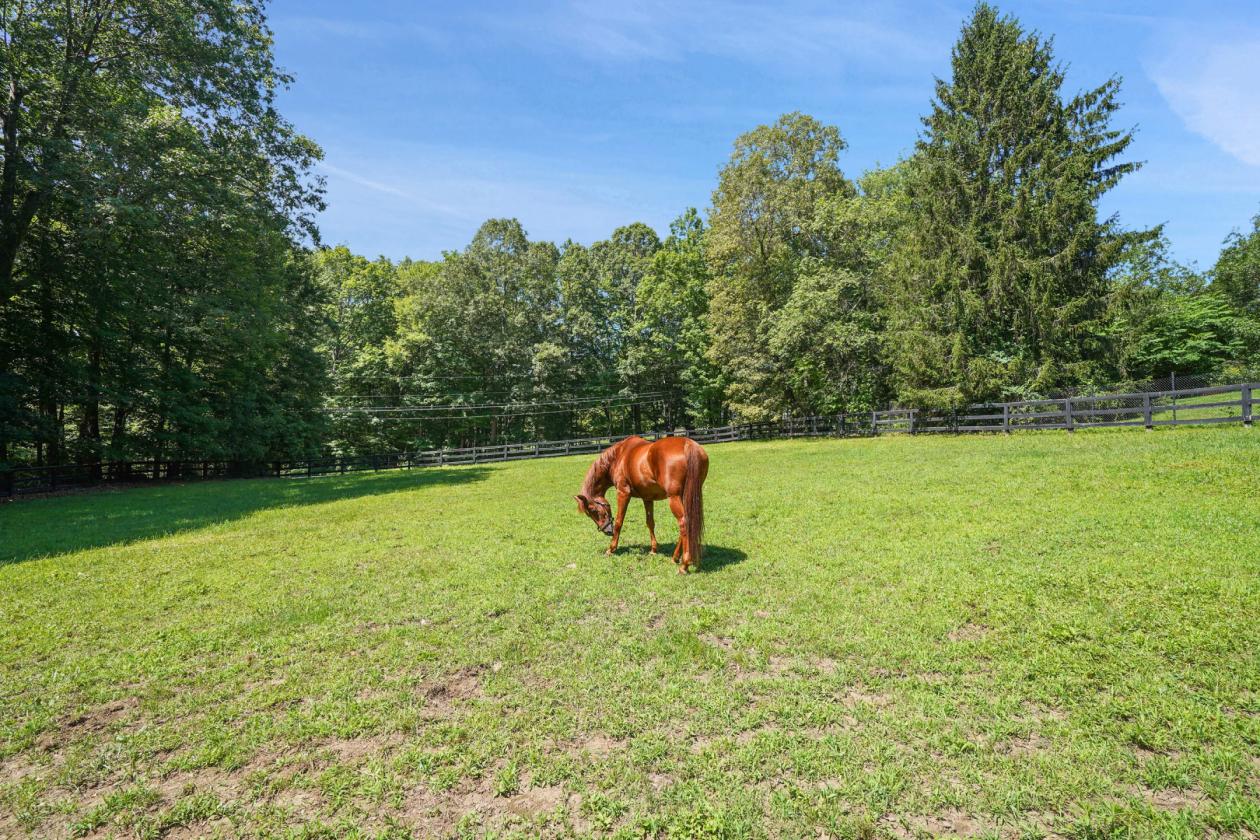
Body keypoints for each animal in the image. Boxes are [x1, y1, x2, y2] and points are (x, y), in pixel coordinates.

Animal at [574, 435, 709, 573]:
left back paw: (684, 565)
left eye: (593, 511)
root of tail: (688, 445)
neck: (619, 455)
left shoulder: (623, 493)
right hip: (686, 496)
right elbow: (650, 523)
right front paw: (653, 550)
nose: (606, 531)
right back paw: (675, 557)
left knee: (684, 523)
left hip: (674, 498)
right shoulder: (647, 498)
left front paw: (611, 549)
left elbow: (619, 522)